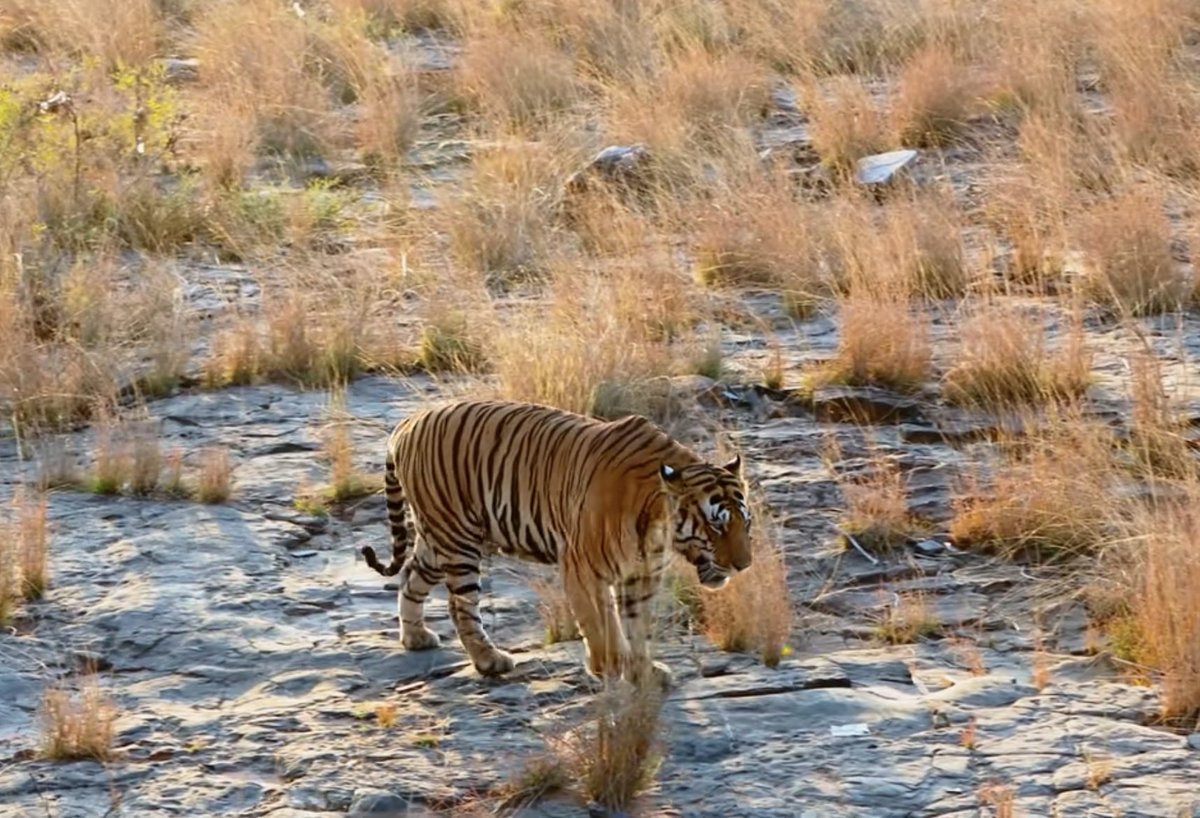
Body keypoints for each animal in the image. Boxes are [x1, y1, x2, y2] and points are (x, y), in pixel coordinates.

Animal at [360, 398, 753, 690]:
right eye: (717, 526)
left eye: (745, 524)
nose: (744, 565)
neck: (658, 523)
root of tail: (407, 422)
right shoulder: (583, 567)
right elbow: (600, 623)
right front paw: (609, 667)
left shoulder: (640, 575)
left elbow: (636, 626)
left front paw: (643, 672)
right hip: (458, 540)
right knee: (460, 606)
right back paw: (490, 661)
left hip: (437, 537)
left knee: (411, 577)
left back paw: (415, 637)